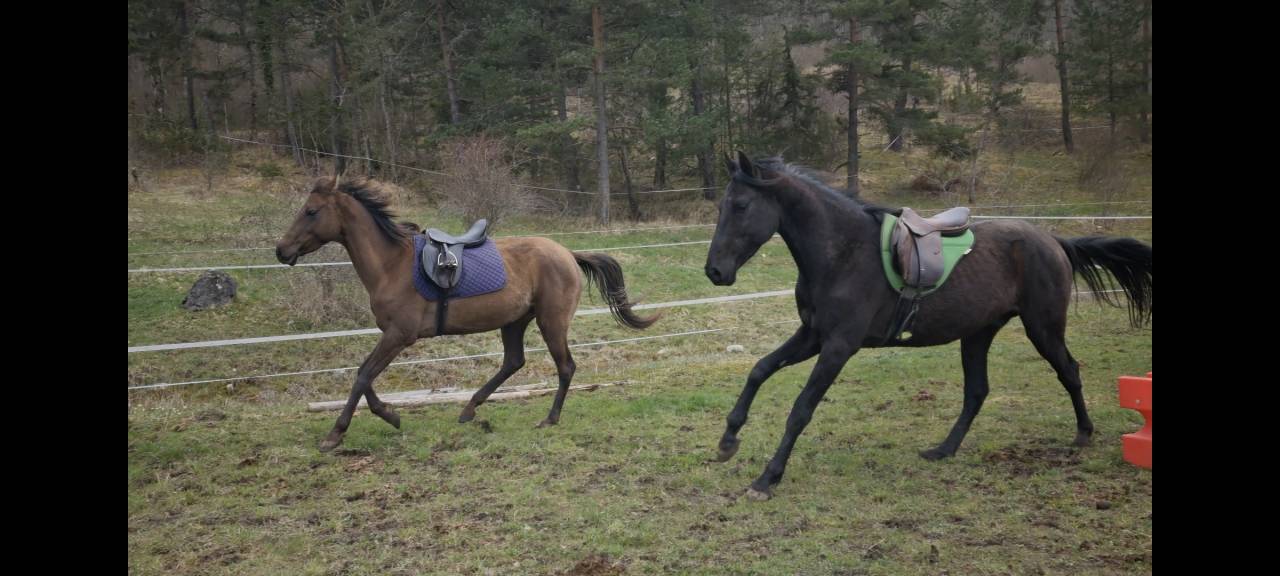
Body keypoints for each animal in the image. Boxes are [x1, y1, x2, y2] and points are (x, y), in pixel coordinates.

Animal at [275, 176, 659, 451]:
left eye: (311, 211)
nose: (281, 250)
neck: (391, 264)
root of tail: (566, 253)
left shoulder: (399, 335)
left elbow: (362, 375)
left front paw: (336, 434)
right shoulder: (392, 336)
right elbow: (365, 376)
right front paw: (391, 415)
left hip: (551, 321)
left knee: (565, 366)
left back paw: (548, 419)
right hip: (514, 321)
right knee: (513, 361)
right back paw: (470, 408)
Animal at [704, 152, 1151, 500]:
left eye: (741, 206)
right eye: (722, 208)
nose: (715, 272)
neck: (843, 253)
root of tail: (1053, 240)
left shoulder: (838, 346)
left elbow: (801, 409)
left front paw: (767, 477)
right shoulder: (812, 336)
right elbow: (760, 369)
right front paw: (728, 441)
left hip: (1043, 327)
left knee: (1068, 371)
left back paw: (1083, 434)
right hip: (978, 334)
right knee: (977, 392)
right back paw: (944, 449)